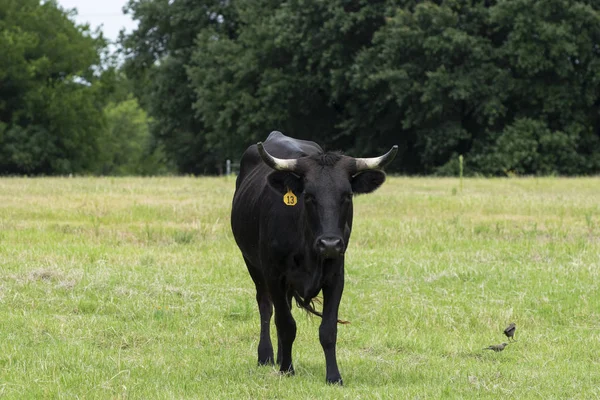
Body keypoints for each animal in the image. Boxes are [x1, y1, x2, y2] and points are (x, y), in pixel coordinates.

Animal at [232, 131, 396, 384]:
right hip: (253, 265)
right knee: (266, 307)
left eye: (347, 195)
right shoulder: (273, 274)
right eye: (308, 196)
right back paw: (267, 356)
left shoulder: (336, 275)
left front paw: (334, 376)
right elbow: (286, 324)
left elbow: (328, 329)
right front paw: (287, 369)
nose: (329, 244)